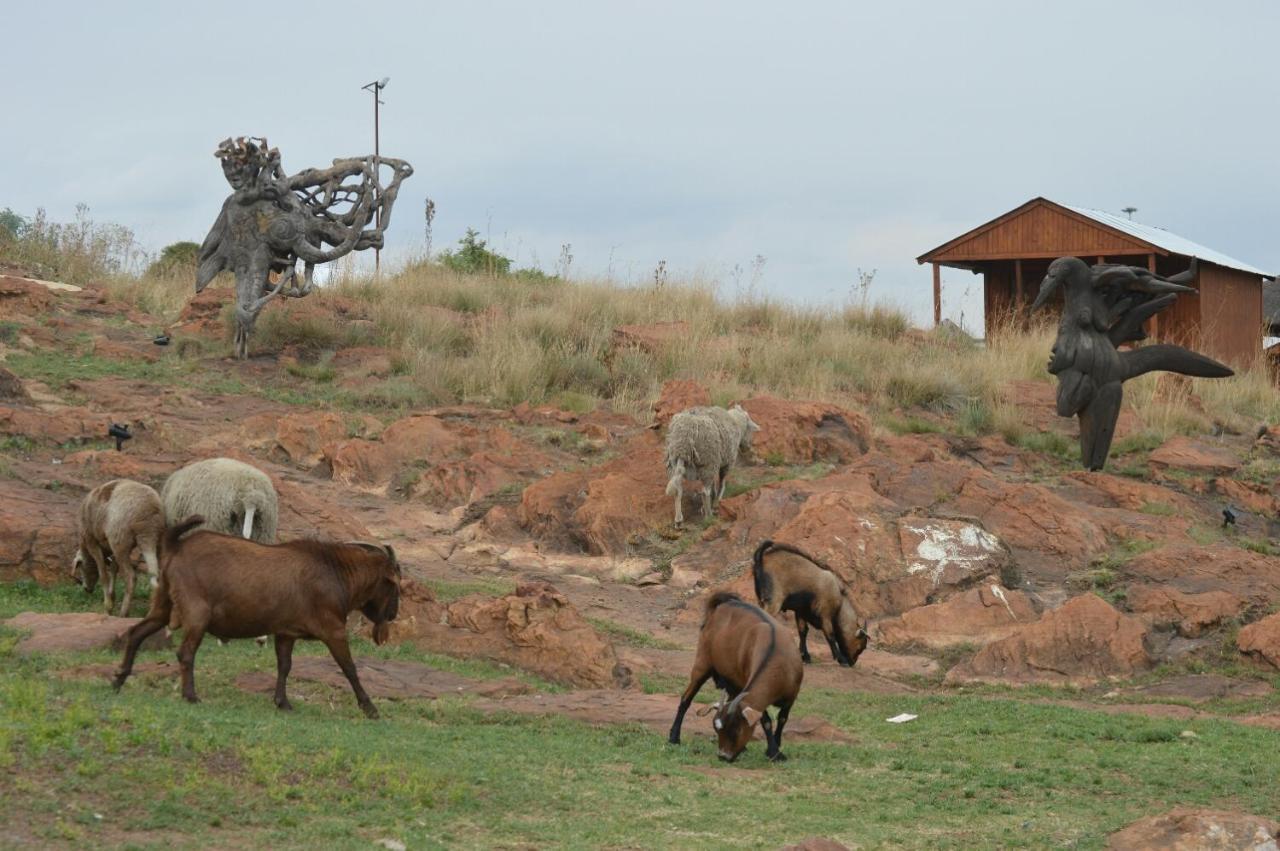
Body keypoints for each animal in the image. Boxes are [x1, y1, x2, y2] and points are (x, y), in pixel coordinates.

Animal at [72, 481, 165, 614]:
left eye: (81, 568)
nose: (87, 589)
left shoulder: (92, 542)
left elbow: (103, 574)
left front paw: (108, 606)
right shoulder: (110, 547)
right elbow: (114, 568)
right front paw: (112, 596)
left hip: (120, 542)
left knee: (131, 577)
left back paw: (123, 612)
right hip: (155, 540)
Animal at [113, 516, 399, 716]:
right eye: (395, 585)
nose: (394, 614)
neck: (336, 572)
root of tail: (176, 545)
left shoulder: (285, 632)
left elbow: (285, 665)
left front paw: (282, 702)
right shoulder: (333, 630)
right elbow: (349, 668)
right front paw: (370, 708)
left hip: (163, 605)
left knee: (136, 632)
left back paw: (119, 679)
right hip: (197, 613)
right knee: (185, 652)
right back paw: (190, 695)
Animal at [665, 591, 803, 762]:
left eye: (736, 730)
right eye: (717, 730)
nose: (723, 756)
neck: (777, 658)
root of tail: (725, 603)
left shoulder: (791, 695)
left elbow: (782, 719)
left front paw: (776, 750)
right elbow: (766, 721)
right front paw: (773, 751)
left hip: (732, 681)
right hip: (702, 664)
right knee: (686, 699)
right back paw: (674, 738)